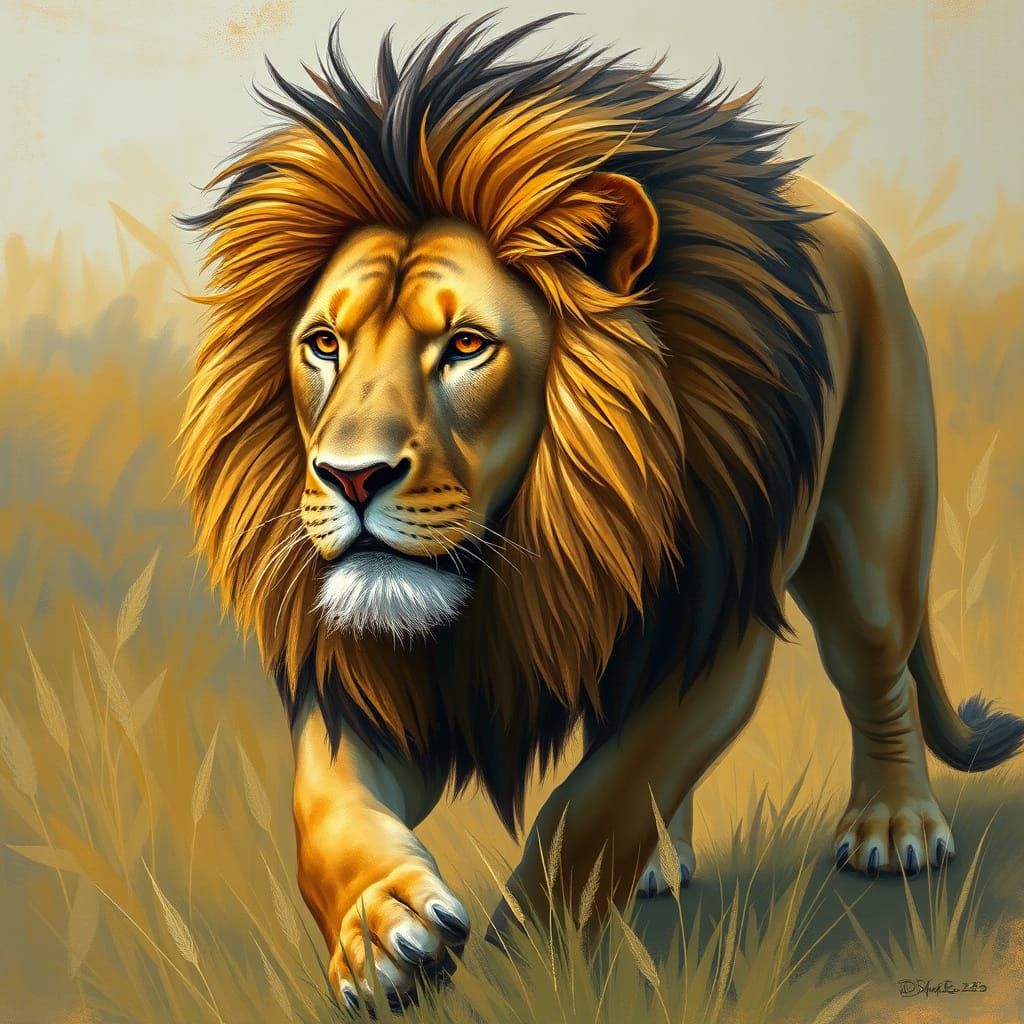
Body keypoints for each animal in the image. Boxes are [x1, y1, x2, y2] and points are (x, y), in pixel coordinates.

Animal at [178, 13, 1024, 1011]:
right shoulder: (372, 682)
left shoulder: (714, 634)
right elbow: (326, 807)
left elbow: (597, 808)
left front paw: (526, 960)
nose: (352, 476)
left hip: (869, 550)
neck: (543, 537)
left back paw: (895, 825)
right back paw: (663, 862)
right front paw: (383, 932)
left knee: (877, 676)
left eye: (466, 345)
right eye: (323, 344)